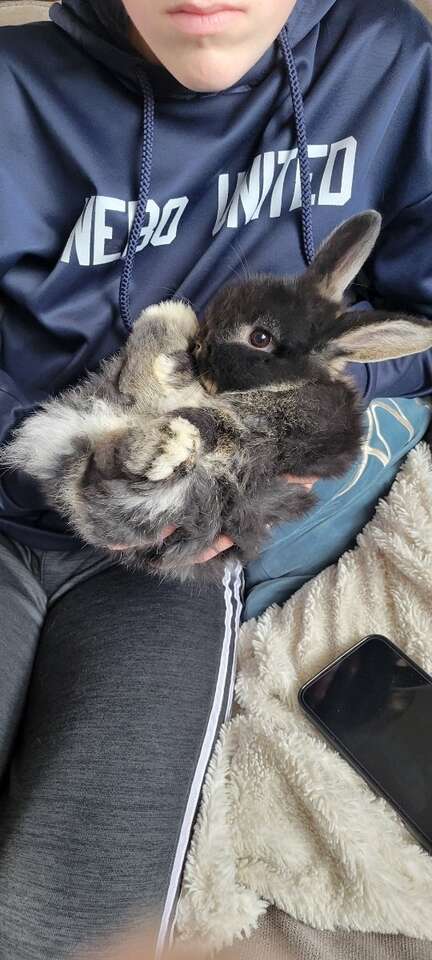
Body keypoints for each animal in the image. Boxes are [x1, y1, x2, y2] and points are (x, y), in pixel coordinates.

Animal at [3, 208, 432, 576]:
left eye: (260, 338)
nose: (200, 346)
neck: (290, 382)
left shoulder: (271, 429)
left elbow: (219, 422)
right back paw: (169, 327)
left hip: (165, 500)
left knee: (115, 459)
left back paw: (166, 438)